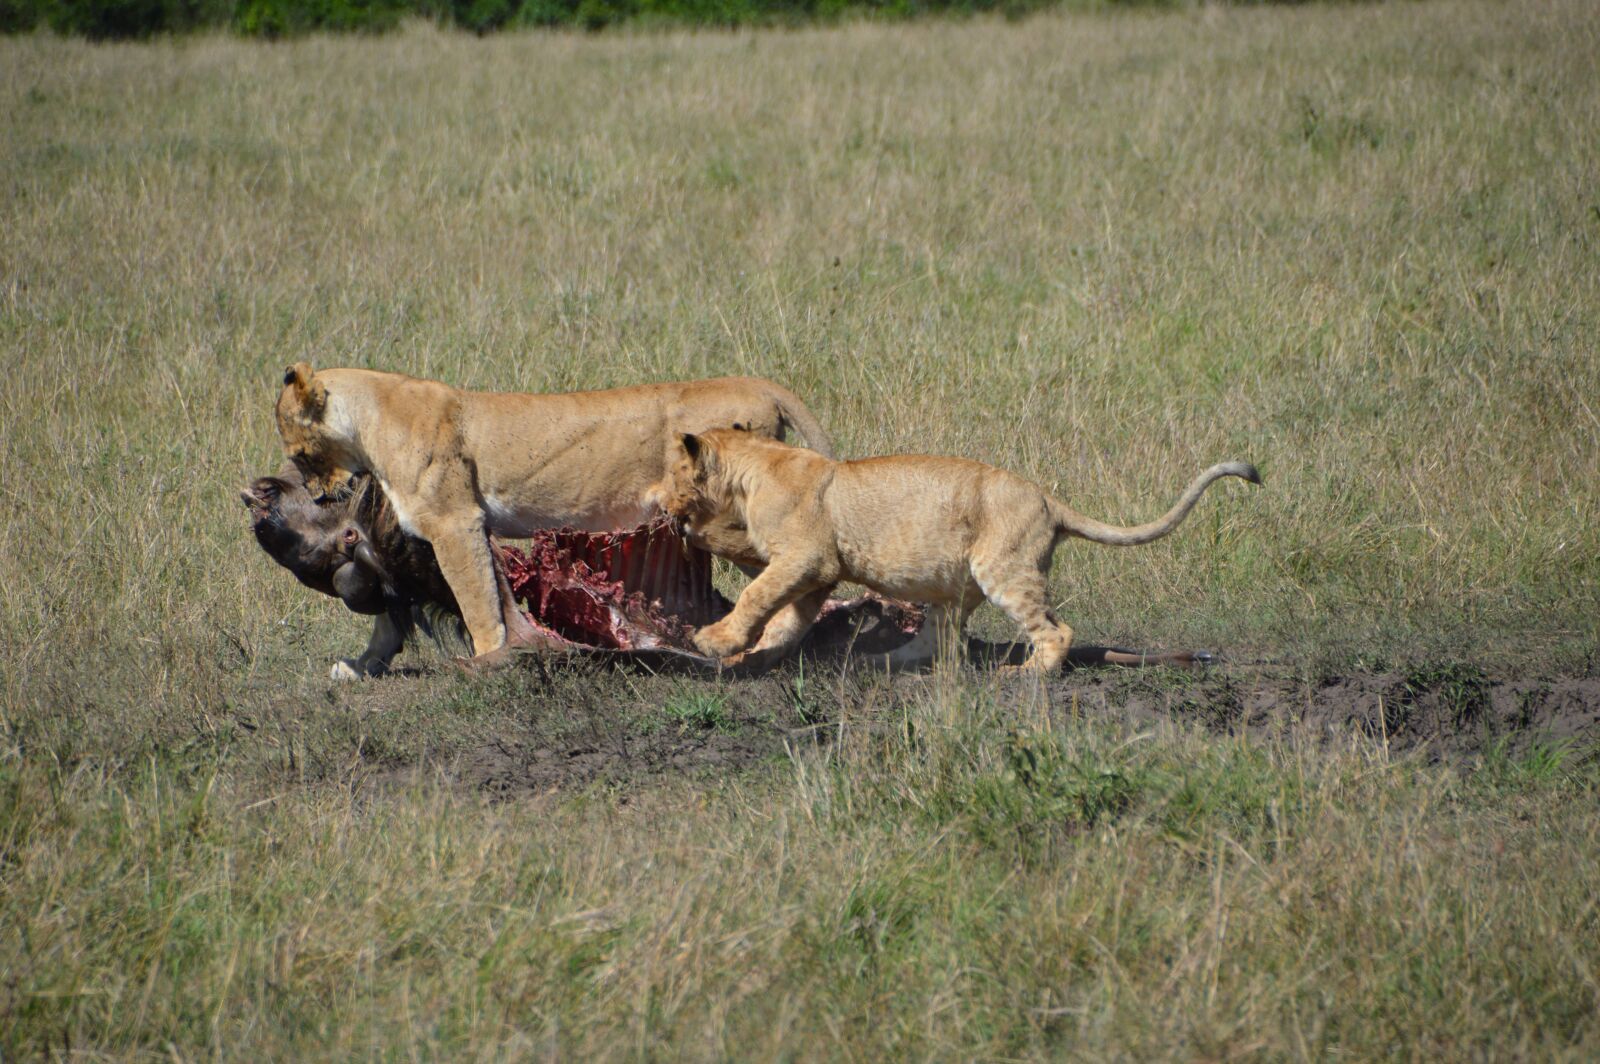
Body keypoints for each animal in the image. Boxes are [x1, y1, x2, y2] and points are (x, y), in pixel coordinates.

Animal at [274, 365, 832, 670]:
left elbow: (478, 603)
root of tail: (760, 385)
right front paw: (359, 667)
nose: (319, 497)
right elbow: (390, 618)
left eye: (299, 454)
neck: (369, 421)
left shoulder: (455, 522)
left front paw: (486, 659)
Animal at [652, 429, 1260, 672]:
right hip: (953, 586)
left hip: (1003, 567)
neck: (751, 463)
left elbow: (756, 597)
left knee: (1055, 630)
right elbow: (785, 621)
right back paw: (881, 660)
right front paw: (754, 656)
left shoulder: (805, 558)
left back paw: (1029, 675)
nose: (653, 496)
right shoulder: (818, 573)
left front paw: (713, 641)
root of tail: (1049, 499)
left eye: (671, 470)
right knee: (942, 642)